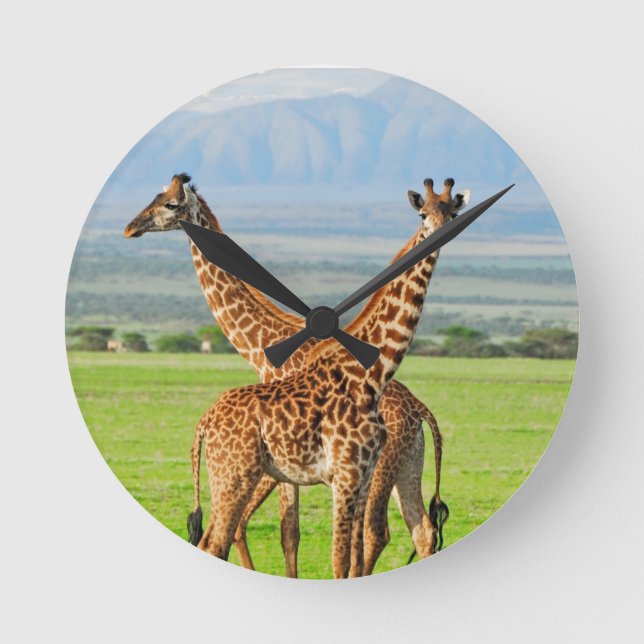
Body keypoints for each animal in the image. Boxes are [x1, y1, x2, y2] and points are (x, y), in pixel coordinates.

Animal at [124, 175, 465, 575]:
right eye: (161, 198)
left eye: (171, 204)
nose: (131, 227)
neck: (264, 343)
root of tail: (421, 410)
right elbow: (291, 534)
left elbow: (300, 538)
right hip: (406, 467)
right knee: (416, 531)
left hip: (387, 468)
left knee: (383, 532)